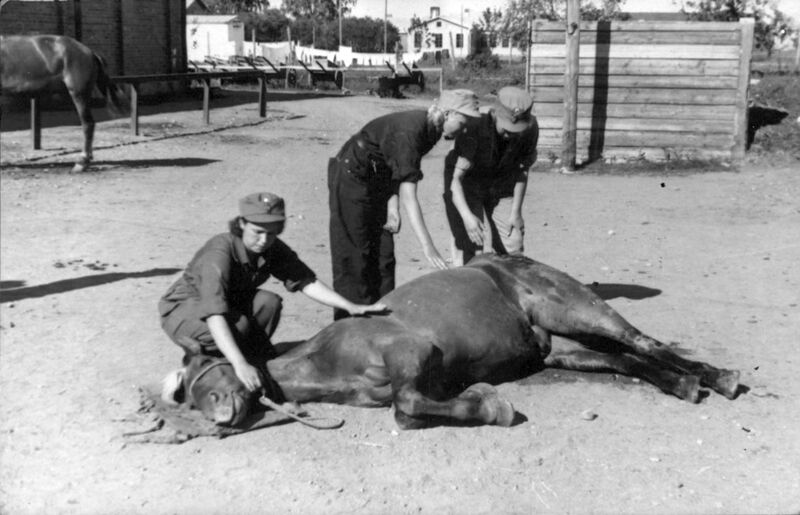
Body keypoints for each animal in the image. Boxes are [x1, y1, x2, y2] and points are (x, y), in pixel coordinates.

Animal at [162, 254, 741, 429]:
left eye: (202, 370)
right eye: (188, 391)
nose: (219, 415)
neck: (330, 358)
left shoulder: (413, 353)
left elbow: (406, 405)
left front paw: (492, 405)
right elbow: (407, 410)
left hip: (576, 310)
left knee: (642, 341)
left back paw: (718, 378)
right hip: (562, 347)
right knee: (627, 360)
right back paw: (688, 383)